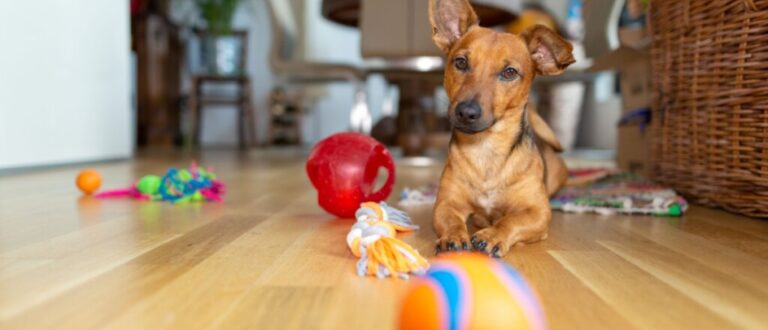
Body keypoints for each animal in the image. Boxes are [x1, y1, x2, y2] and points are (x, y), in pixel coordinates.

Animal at [428, 0, 572, 258]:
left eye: (509, 72)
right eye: (461, 62)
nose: (466, 112)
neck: (486, 149)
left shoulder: (538, 213)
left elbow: (510, 221)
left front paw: (493, 235)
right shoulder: (445, 204)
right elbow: (452, 221)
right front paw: (453, 236)